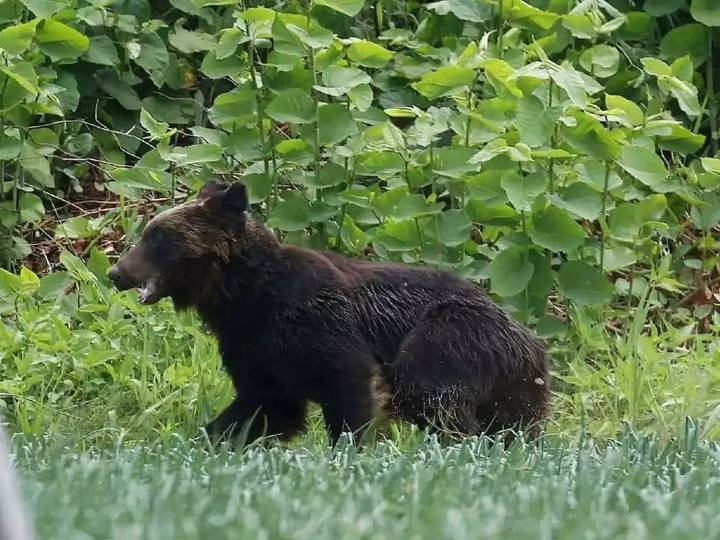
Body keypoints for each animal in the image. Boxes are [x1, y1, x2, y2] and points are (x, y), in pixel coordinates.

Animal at [108, 180, 550, 445]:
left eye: (157, 237)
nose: (116, 272)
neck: (244, 298)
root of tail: (530, 337)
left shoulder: (318, 323)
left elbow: (348, 386)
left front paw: (348, 450)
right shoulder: (251, 348)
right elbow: (263, 406)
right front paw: (209, 439)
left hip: (451, 336)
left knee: (430, 393)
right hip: (516, 384)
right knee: (515, 424)